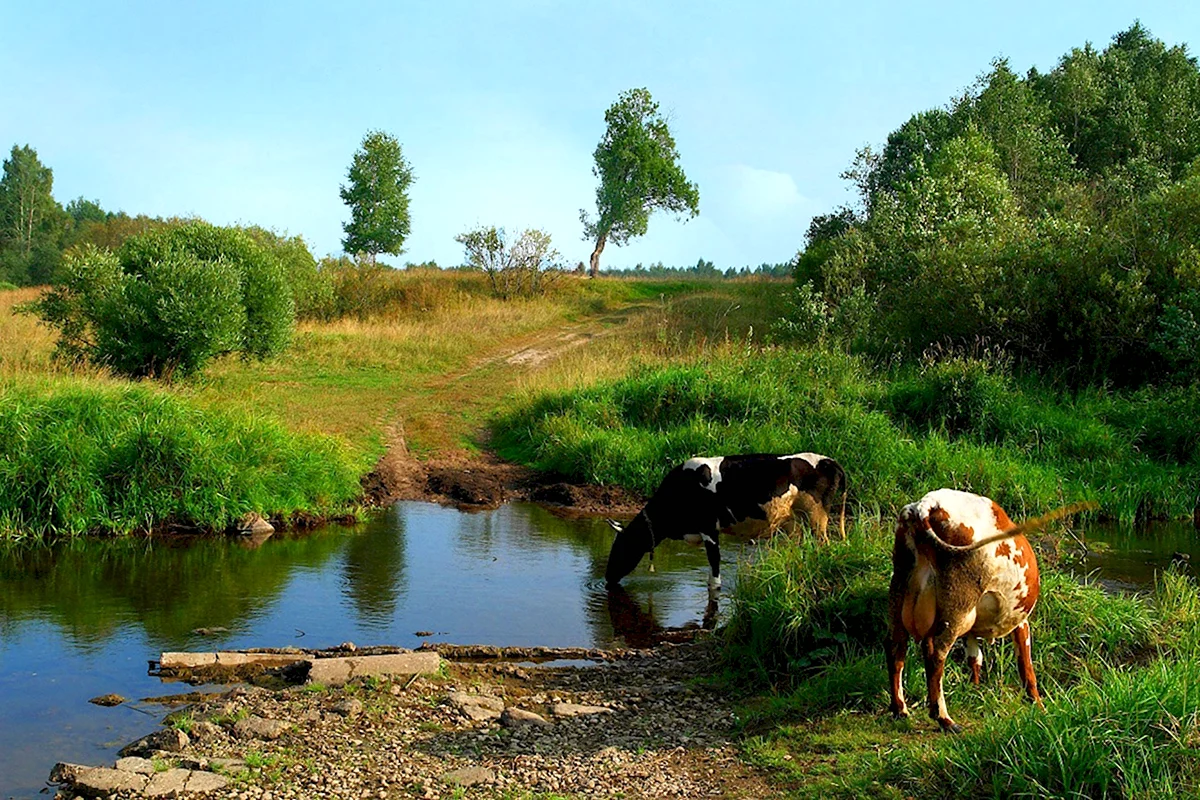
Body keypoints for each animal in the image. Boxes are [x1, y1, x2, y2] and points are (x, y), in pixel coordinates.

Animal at [604, 453, 849, 592]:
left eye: (618, 549)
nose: (607, 578)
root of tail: (828, 460)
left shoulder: (708, 529)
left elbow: (714, 565)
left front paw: (715, 588)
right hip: (795, 520)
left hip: (816, 515)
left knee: (824, 544)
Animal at [888, 489, 1094, 734]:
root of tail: (926, 504)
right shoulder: (1021, 621)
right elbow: (1026, 665)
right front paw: (1037, 704)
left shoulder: (972, 629)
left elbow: (974, 658)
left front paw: (975, 688)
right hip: (957, 606)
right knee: (935, 655)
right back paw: (944, 718)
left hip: (900, 592)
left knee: (896, 649)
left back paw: (900, 709)